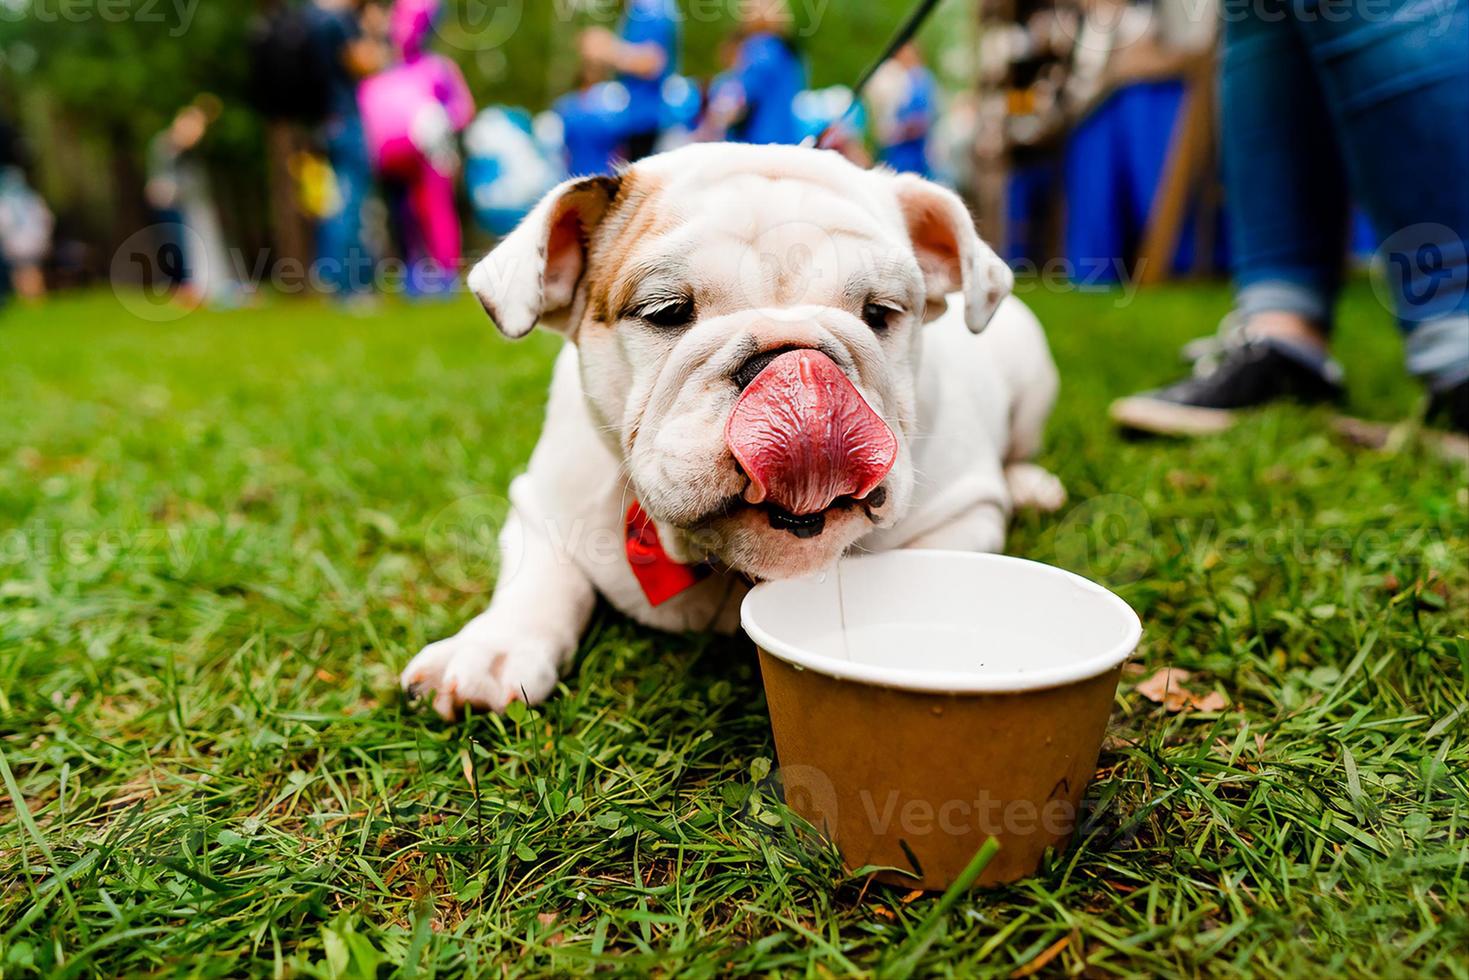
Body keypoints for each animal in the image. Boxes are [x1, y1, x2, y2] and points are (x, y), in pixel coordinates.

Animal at [408, 141, 1063, 717]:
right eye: (666, 311)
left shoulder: (963, 513)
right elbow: (539, 579)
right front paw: (489, 651)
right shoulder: (540, 503)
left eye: (881, 314)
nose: (794, 365)